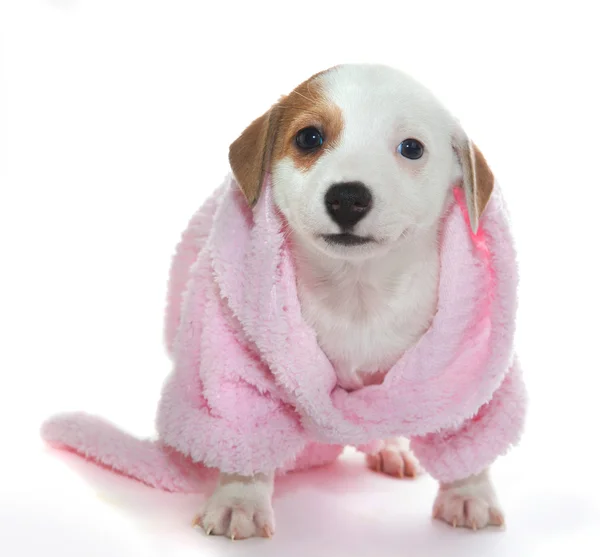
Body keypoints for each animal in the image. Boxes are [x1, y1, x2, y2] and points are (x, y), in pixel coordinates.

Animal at [197, 65, 502, 540]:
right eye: (309, 138)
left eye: (411, 148)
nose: (347, 197)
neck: (357, 294)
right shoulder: (245, 369)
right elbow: (245, 433)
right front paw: (238, 499)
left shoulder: (458, 373)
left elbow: (465, 433)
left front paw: (469, 493)